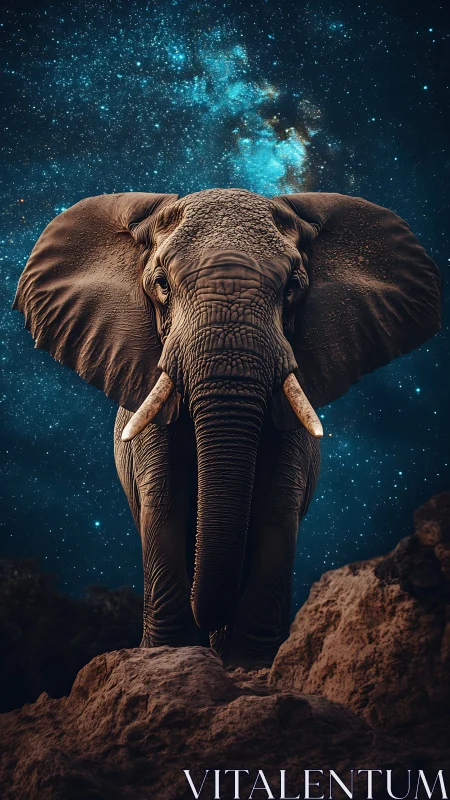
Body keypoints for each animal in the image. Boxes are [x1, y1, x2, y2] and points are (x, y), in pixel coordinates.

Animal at [14, 188, 441, 667]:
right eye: (161, 285)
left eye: (293, 288)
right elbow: (163, 498)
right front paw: (169, 654)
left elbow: (277, 503)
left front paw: (253, 664)